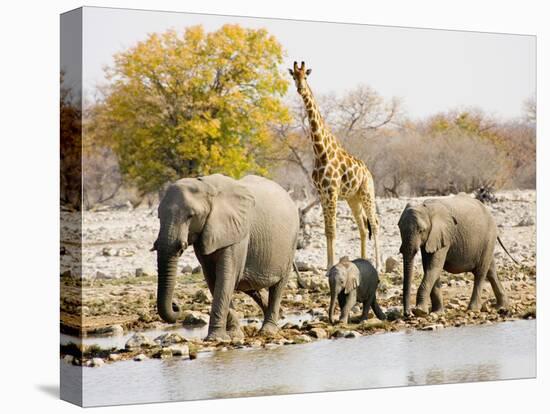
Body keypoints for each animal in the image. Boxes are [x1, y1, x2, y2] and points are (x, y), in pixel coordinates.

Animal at [152, 173, 302, 342]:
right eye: (159, 216)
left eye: (191, 216)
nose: (176, 305)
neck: (205, 185)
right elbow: (213, 279)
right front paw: (233, 335)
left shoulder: (237, 233)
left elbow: (225, 278)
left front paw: (215, 338)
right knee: (249, 285)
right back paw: (280, 315)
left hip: (291, 243)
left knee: (277, 286)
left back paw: (268, 331)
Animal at [288, 60, 380, 268]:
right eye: (294, 76)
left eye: (306, 76)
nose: (300, 88)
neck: (321, 151)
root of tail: (369, 173)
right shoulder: (322, 193)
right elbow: (327, 230)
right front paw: (328, 266)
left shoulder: (331, 192)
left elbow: (333, 229)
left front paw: (330, 265)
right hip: (353, 198)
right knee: (363, 226)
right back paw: (363, 260)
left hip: (367, 192)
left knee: (375, 223)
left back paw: (378, 264)